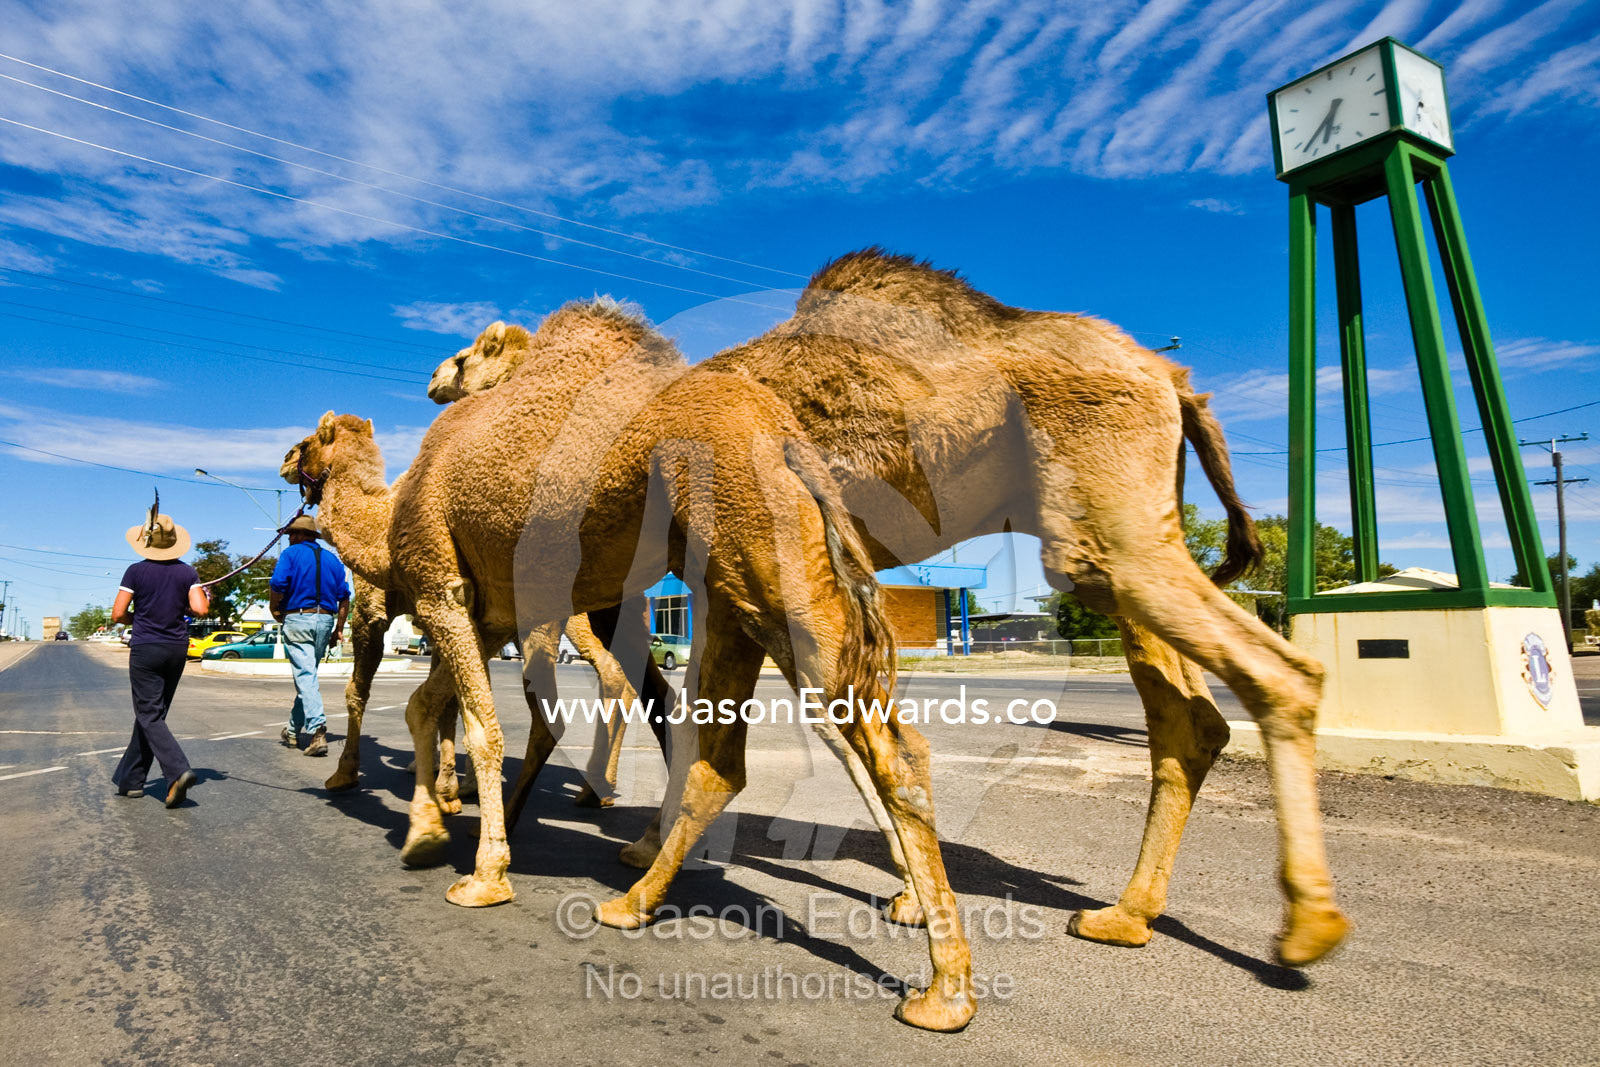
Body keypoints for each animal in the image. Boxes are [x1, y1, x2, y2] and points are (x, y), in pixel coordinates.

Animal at [288, 301, 976, 1032]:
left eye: (305, 442)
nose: (434, 378)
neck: (390, 514)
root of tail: (786, 435)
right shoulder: (489, 609)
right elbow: (431, 708)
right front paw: (427, 828)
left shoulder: (439, 584)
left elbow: (476, 725)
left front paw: (479, 872)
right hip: (754, 579)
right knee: (766, 749)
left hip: (750, 554)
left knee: (858, 745)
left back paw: (939, 986)